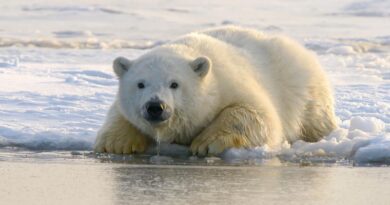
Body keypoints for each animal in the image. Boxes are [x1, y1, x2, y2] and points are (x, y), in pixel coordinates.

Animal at [95, 26, 338, 156]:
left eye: (174, 84)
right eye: (140, 84)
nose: (156, 106)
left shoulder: (230, 83)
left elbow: (257, 114)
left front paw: (205, 143)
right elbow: (118, 113)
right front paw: (117, 144)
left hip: (303, 88)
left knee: (315, 118)